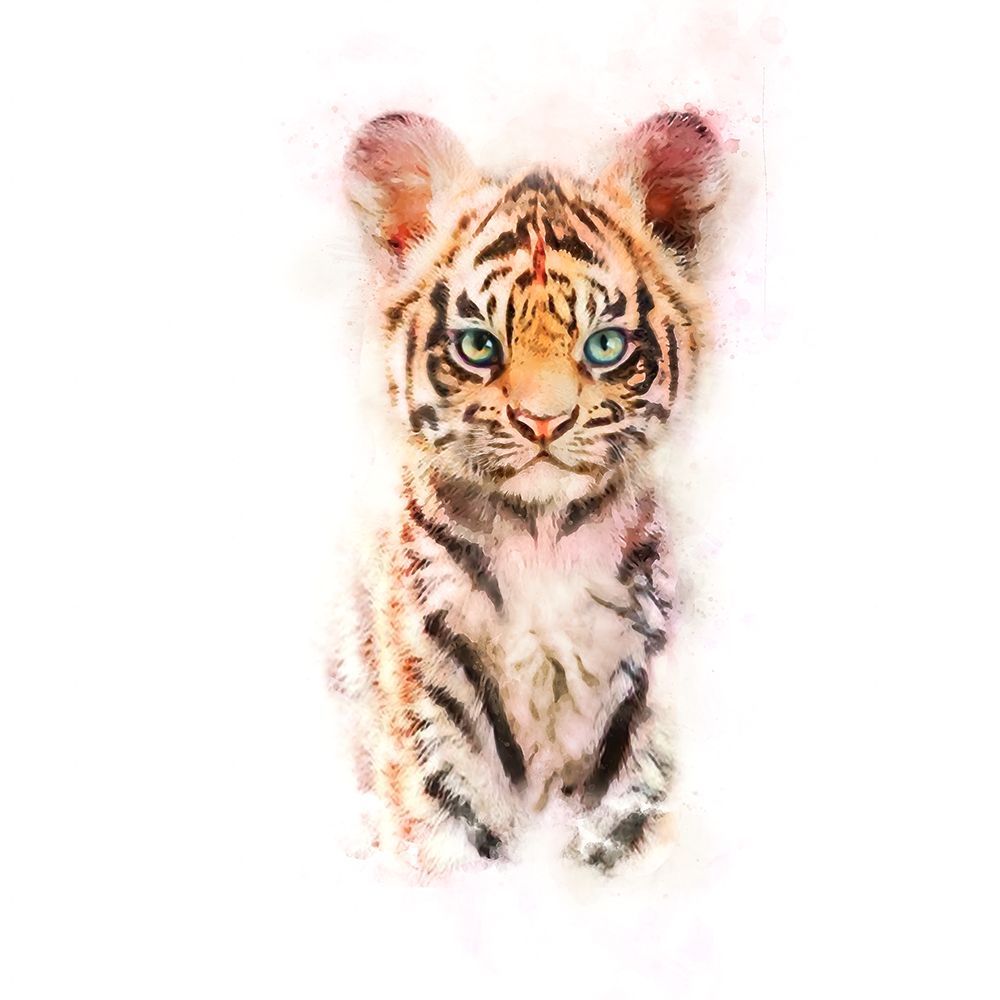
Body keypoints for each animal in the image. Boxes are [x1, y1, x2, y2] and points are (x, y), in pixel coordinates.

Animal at [332, 109, 725, 875]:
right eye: (479, 346)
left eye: (604, 346)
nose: (544, 421)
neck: (543, 544)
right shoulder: (434, 726)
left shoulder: (642, 720)